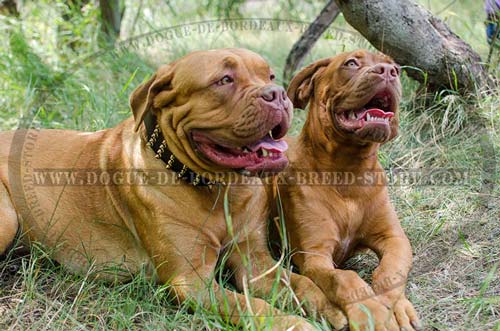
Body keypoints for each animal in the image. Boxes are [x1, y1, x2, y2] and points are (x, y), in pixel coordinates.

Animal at [0, 48, 346, 330]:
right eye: (224, 80)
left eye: (270, 76)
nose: (277, 93)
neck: (220, 189)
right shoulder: (192, 281)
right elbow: (251, 305)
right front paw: (296, 324)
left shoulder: (256, 260)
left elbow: (301, 284)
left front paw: (334, 308)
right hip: (8, 218)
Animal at [276, 50, 420, 331]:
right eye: (351, 63)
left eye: (396, 68)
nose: (389, 71)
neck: (347, 173)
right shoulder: (315, 255)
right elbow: (344, 278)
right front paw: (372, 312)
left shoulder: (394, 238)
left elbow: (390, 271)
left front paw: (395, 305)